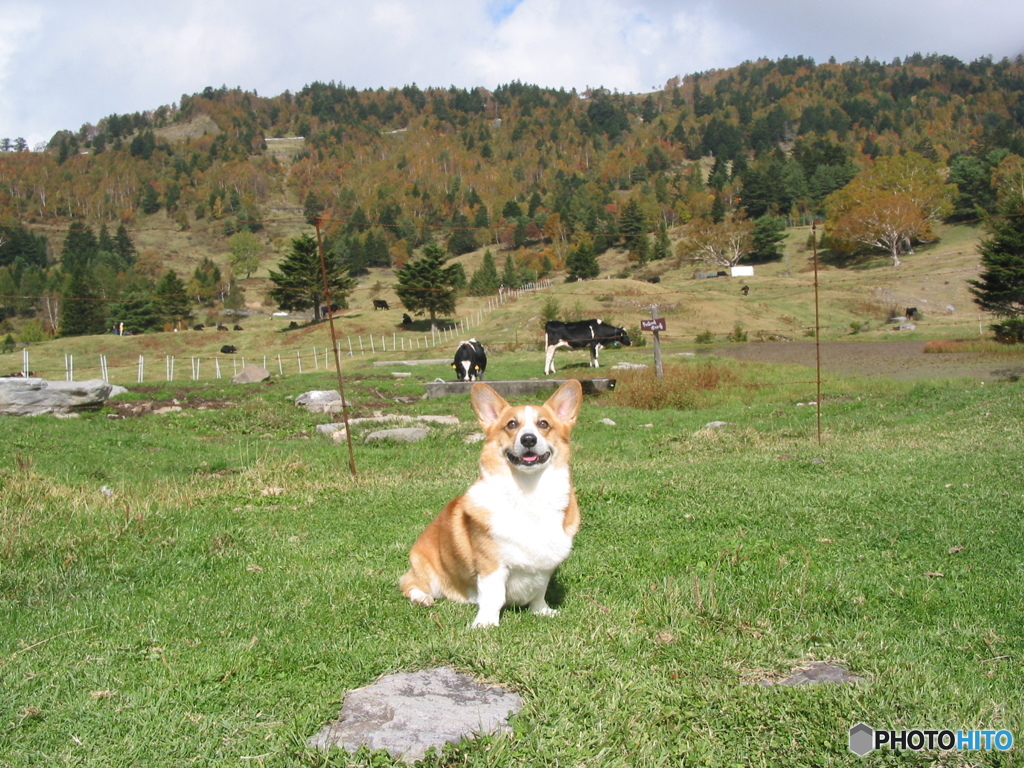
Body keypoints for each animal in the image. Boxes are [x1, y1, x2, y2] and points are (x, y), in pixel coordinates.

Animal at [397, 382, 581, 626]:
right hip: (424, 567)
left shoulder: (545, 566)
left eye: (543, 424)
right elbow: (494, 595)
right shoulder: (491, 565)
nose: (528, 439)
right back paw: (423, 598)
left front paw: (543, 611)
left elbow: (539, 593)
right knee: (409, 584)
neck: (528, 490)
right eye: (511, 424)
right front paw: (485, 624)